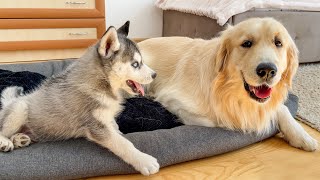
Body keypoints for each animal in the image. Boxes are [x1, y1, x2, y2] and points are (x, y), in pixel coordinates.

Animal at [0, 21, 159, 175]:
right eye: (135, 64)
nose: (155, 75)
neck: (102, 83)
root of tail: (9, 103)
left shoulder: (106, 117)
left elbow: (115, 127)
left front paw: (120, 131)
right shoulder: (96, 126)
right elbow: (122, 143)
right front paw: (144, 161)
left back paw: (19, 139)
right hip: (19, 108)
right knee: (2, 130)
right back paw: (5, 142)